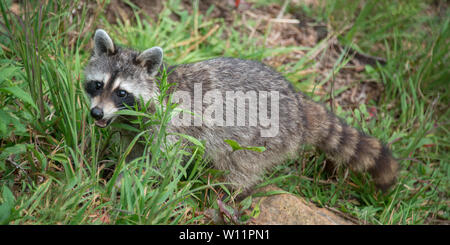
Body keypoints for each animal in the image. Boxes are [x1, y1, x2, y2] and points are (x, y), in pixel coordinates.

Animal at [83, 29, 398, 195]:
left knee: (240, 167)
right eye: (97, 85)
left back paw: (227, 192)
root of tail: (300, 107)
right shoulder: (132, 128)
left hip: (263, 139)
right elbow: (133, 152)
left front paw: (123, 184)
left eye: (122, 93)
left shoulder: (172, 126)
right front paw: (117, 173)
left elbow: (162, 161)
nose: (96, 114)